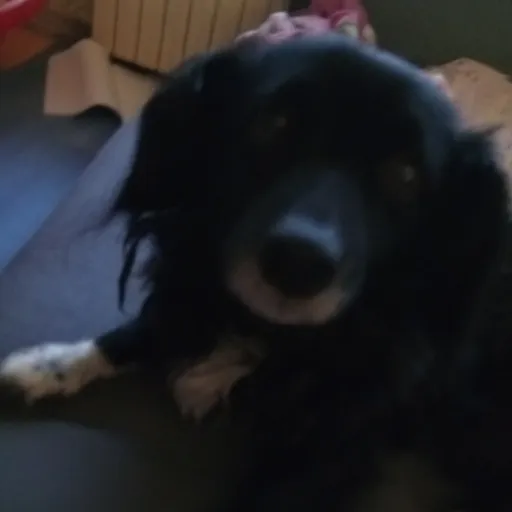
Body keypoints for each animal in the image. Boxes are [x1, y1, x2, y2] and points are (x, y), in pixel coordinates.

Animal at [1, 35, 512, 511]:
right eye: (272, 125)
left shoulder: (337, 445)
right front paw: (49, 365)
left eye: (405, 175)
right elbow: (139, 332)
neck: (270, 330)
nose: (299, 265)